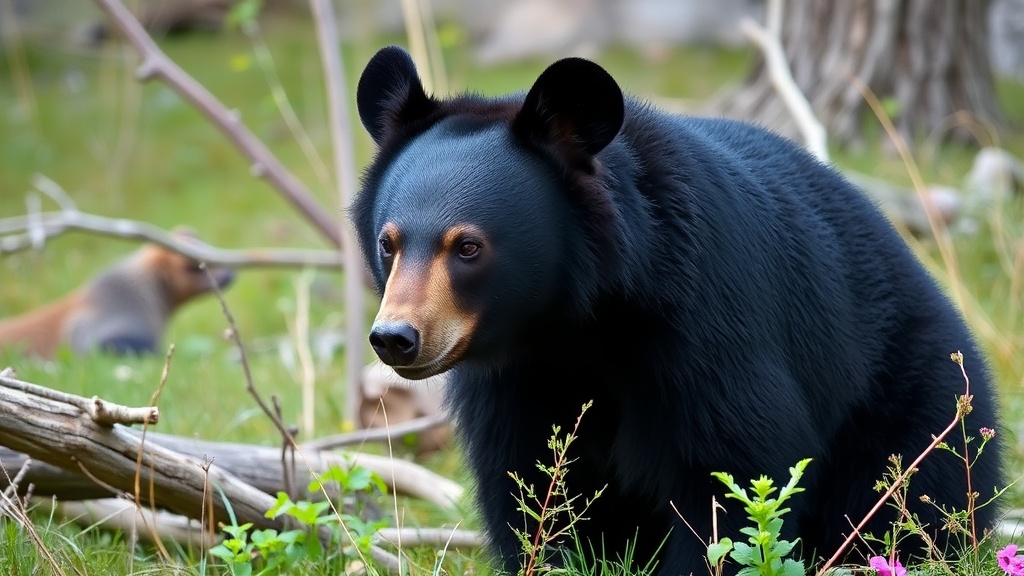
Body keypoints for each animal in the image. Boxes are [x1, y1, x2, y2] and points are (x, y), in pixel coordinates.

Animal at [351, 46, 1002, 574]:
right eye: (389, 243)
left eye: (468, 247)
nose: (396, 338)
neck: (573, 322)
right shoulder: (515, 380)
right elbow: (528, 478)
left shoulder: (705, 324)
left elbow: (733, 468)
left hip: (907, 398)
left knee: (910, 496)